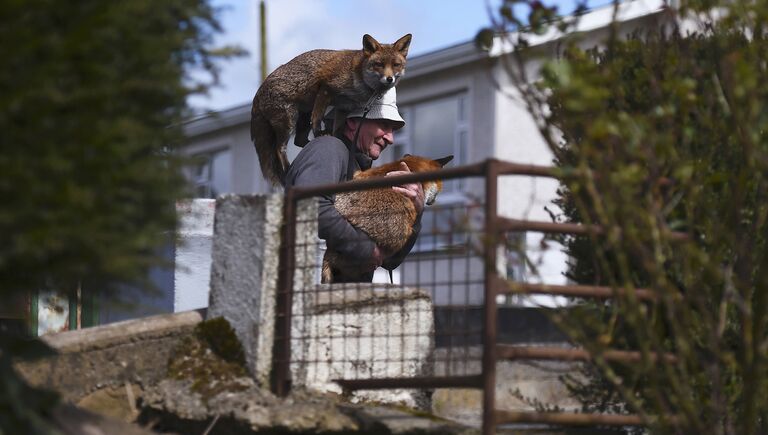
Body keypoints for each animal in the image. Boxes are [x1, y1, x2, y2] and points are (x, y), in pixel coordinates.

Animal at [252, 33, 412, 184]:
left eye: (396, 65)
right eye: (379, 64)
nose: (389, 79)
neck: (358, 80)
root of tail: (259, 91)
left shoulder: (344, 106)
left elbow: (338, 130)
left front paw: (338, 140)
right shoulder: (325, 89)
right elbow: (318, 118)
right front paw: (320, 133)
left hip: (304, 117)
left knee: (298, 141)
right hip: (289, 121)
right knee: (279, 149)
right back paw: (287, 168)